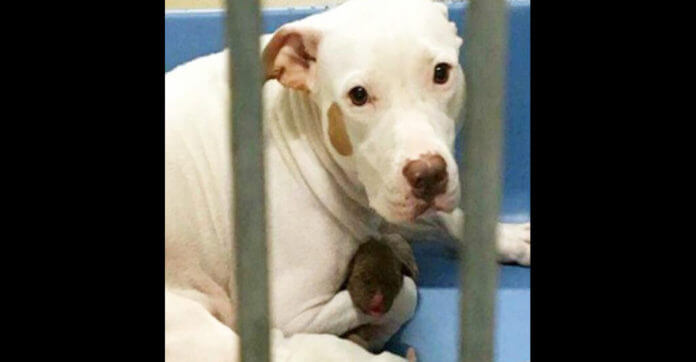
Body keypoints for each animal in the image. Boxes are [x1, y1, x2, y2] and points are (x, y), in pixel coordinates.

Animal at [166, 0, 532, 360]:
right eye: (358, 95)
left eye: (441, 73)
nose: (428, 174)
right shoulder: (295, 313)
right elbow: (407, 294)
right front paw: (375, 325)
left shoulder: (384, 197)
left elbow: (448, 219)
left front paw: (509, 237)